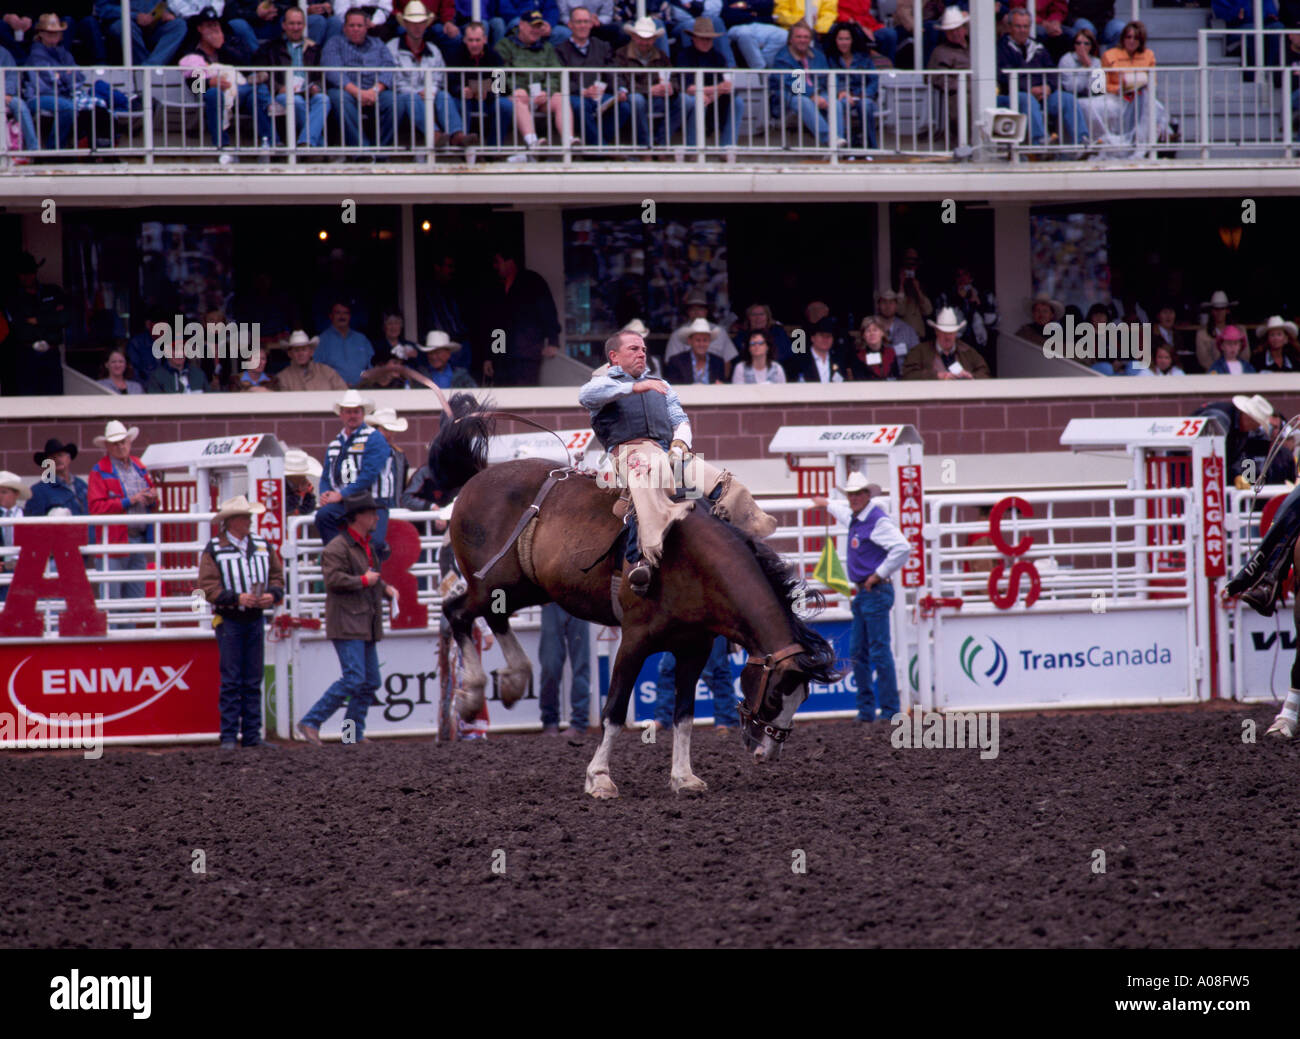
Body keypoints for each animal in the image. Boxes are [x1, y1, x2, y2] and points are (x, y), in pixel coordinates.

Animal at [421, 395, 837, 801]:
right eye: (776, 696)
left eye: (802, 699)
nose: (767, 752)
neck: (691, 558)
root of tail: (477, 478)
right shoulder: (635, 640)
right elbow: (615, 709)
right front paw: (599, 778)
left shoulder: (695, 647)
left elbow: (684, 713)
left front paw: (684, 777)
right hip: (492, 583)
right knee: (457, 612)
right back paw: (473, 695)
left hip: (522, 587)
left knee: (493, 616)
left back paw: (512, 680)